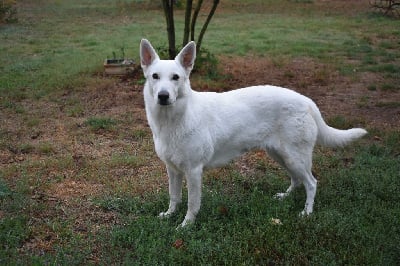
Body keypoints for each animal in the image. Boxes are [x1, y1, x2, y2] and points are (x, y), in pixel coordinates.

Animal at [139, 38, 368, 228]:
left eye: (176, 77)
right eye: (155, 77)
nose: (163, 96)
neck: (174, 120)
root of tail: (307, 101)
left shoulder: (194, 171)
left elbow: (192, 203)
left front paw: (186, 226)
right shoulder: (173, 170)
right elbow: (174, 197)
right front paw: (169, 215)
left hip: (295, 157)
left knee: (311, 183)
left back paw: (307, 212)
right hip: (281, 155)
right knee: (296, 180)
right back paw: (285, 197)